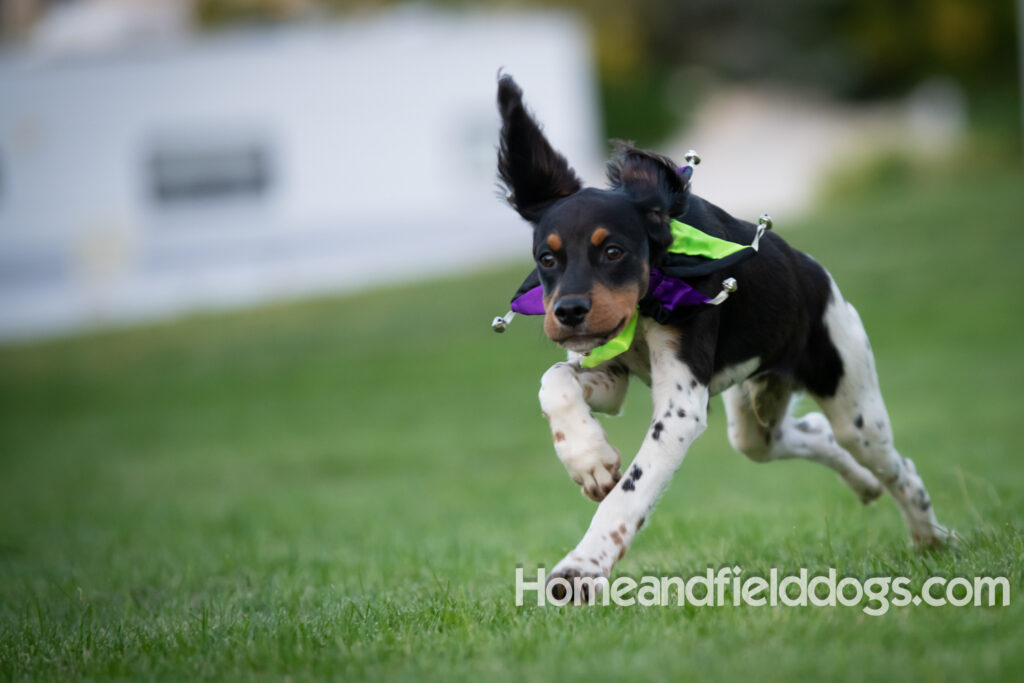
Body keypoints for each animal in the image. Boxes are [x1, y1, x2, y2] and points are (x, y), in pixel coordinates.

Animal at [493, 72, 950, 602]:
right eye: (547, 259)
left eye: (612, 251)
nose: (567, 312)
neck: (653, 288)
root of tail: (816, 274)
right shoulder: (610, 371)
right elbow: (555, 381)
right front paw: (589, 460)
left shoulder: (680, 408)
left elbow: (628, 495)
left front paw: (581, 570)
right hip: (755, 423)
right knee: (805, 435)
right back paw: (866, 488)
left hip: (855, 407)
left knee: (896, 465)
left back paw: (930, 536)